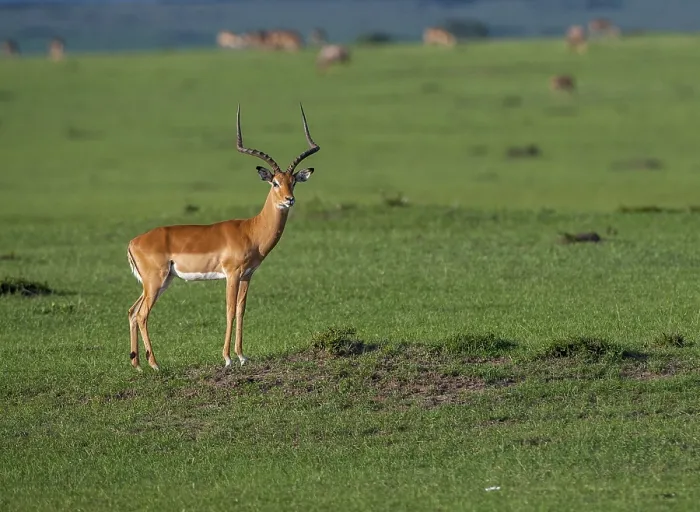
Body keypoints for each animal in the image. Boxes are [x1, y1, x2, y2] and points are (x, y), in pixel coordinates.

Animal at [126, 104, 320, 371]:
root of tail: (133, 242)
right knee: (143, 314)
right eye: (275, 183)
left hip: (159, 282)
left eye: (294, 182)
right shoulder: (232, 274)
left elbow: (241, 310)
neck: (251, 230)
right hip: (155, 282)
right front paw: (227, 358)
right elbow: (229, 310)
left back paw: (137, 365)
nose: (289, 200)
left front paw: (242, 356)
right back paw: (154, 365)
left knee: (132, 312)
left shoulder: (248, 275)